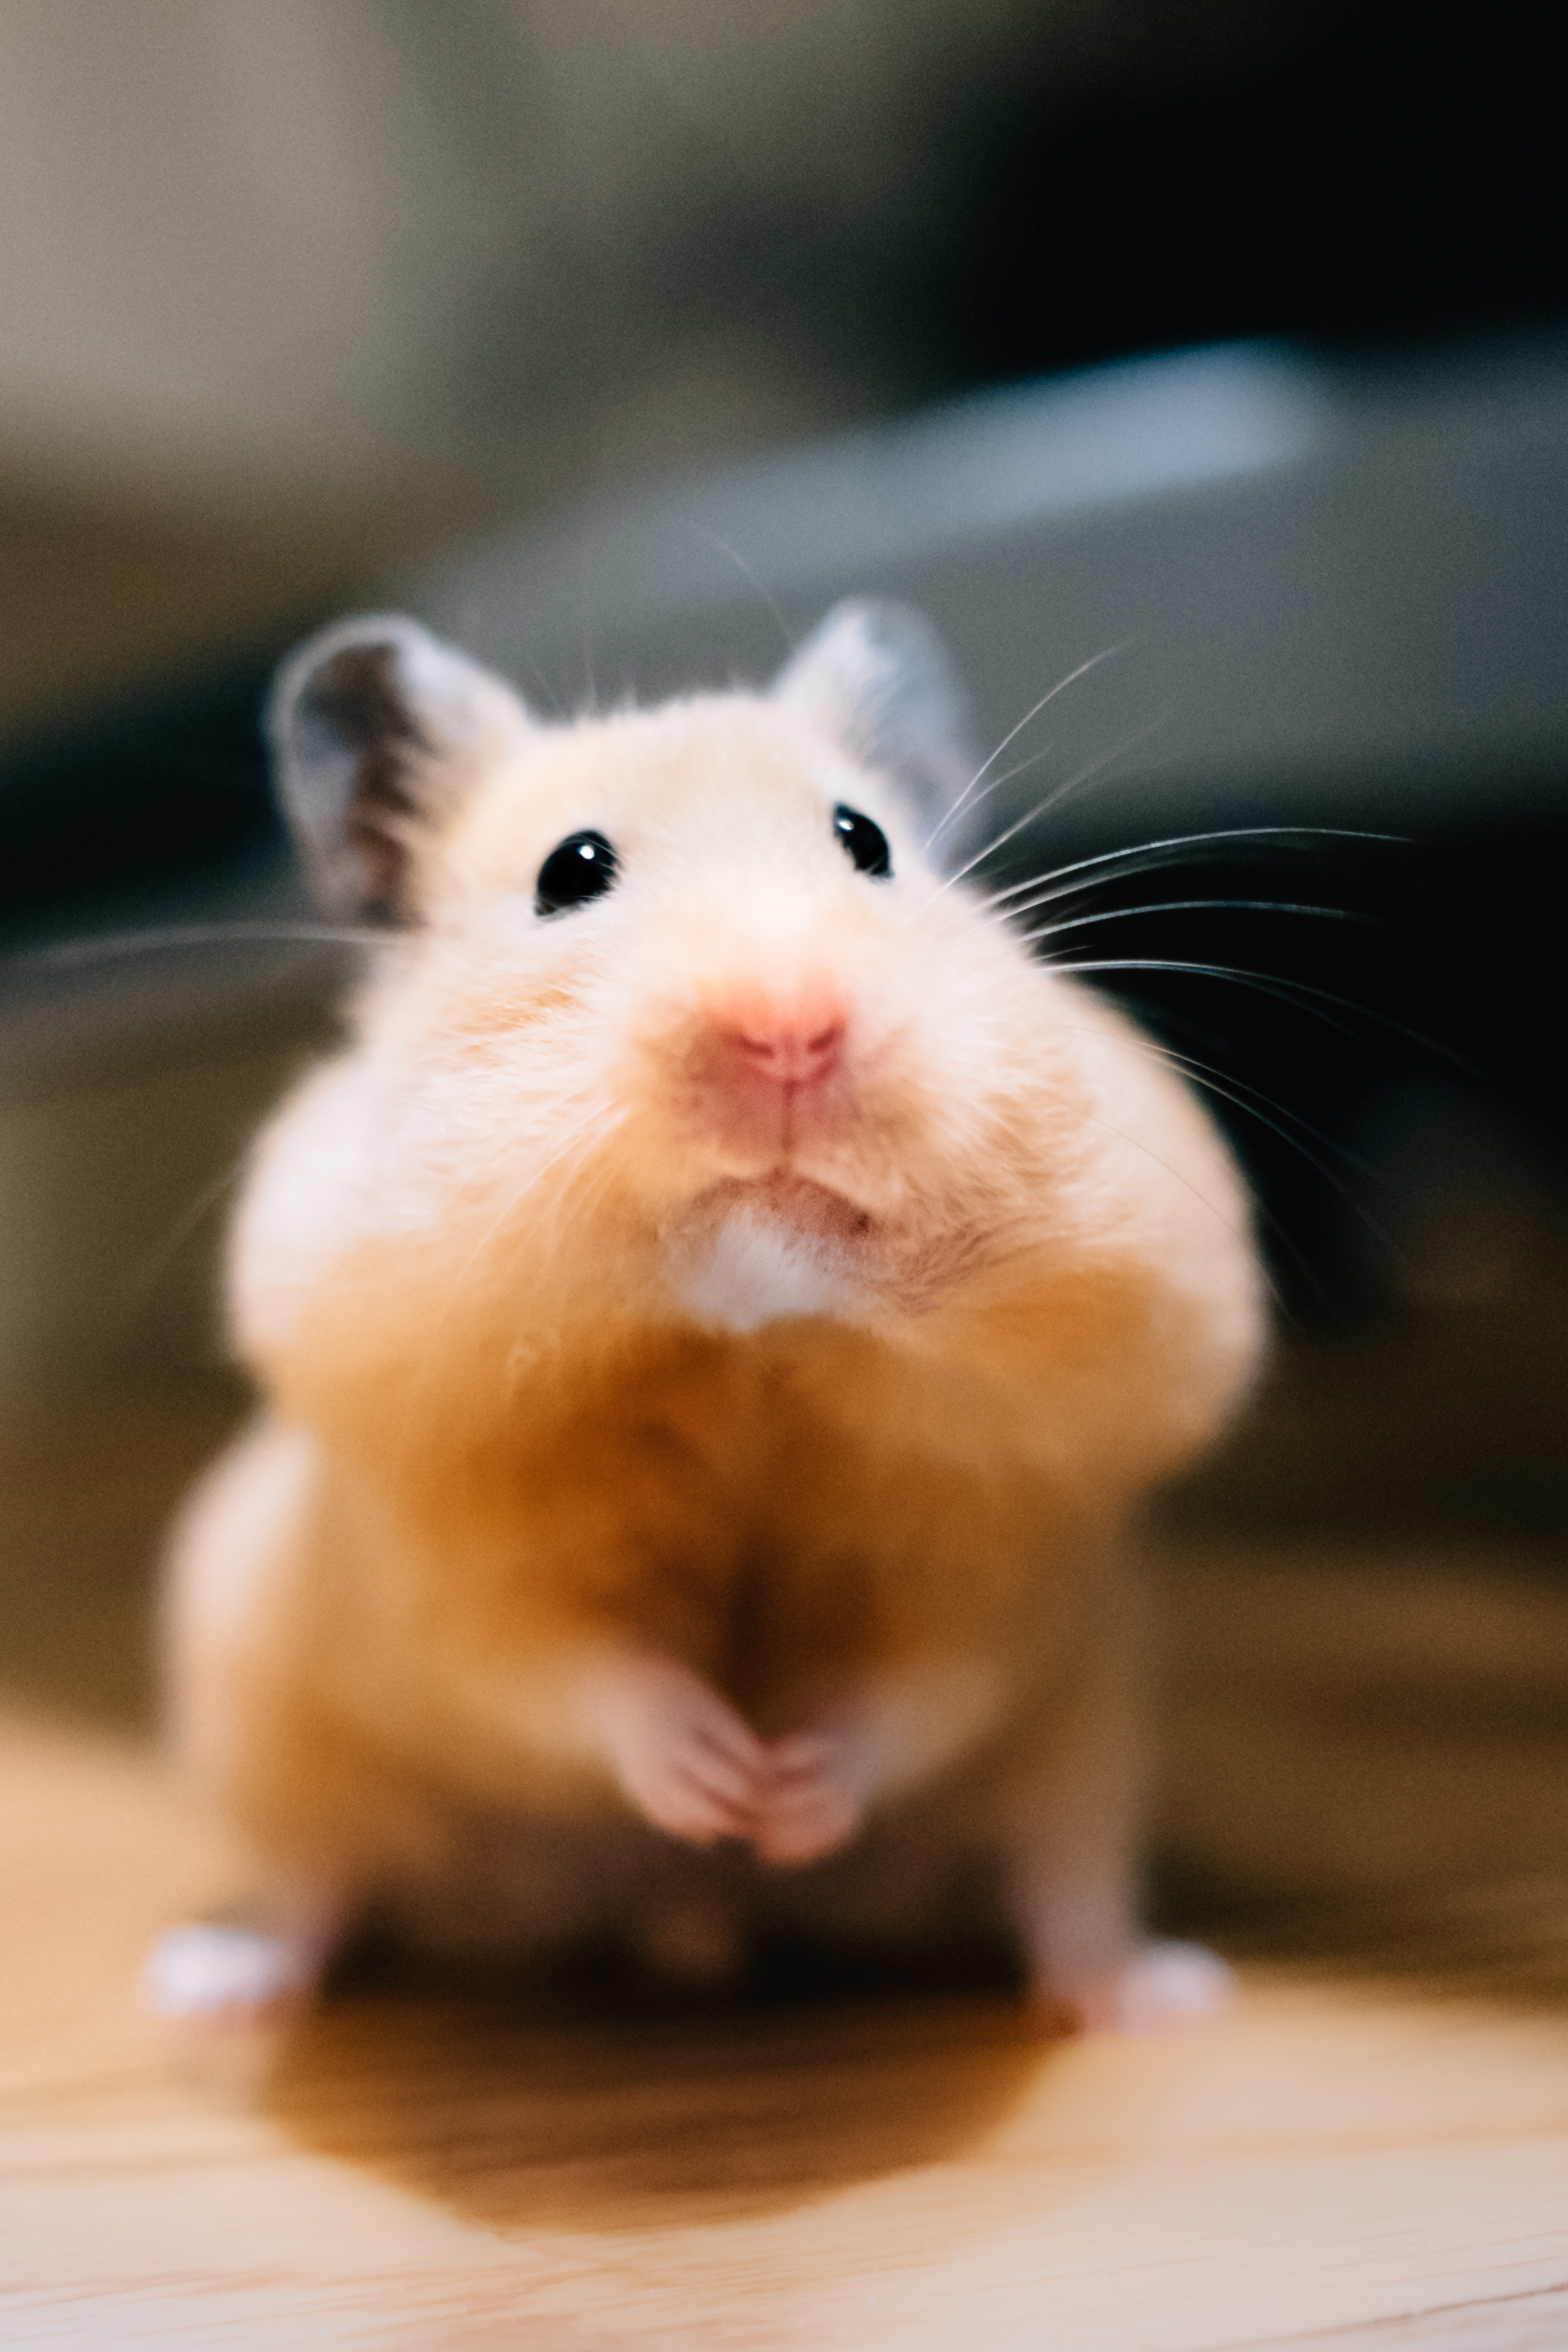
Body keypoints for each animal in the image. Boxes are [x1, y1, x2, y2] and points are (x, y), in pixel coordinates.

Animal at [147, 606, 1269, 2041]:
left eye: (865, 841)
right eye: (570, 871)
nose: (789, 1025)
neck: (755, 1337)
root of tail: (687, 1925)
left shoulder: (1007, 1560)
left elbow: (919, 1689)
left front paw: (786, 1795)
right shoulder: (450, 1560)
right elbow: (570, 1675)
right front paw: (720, 1776)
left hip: (1090, 1740)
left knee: (1064, 1884)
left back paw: (1155, 1994)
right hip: (274, 1734)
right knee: (311, 1887)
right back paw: (210, 1989)